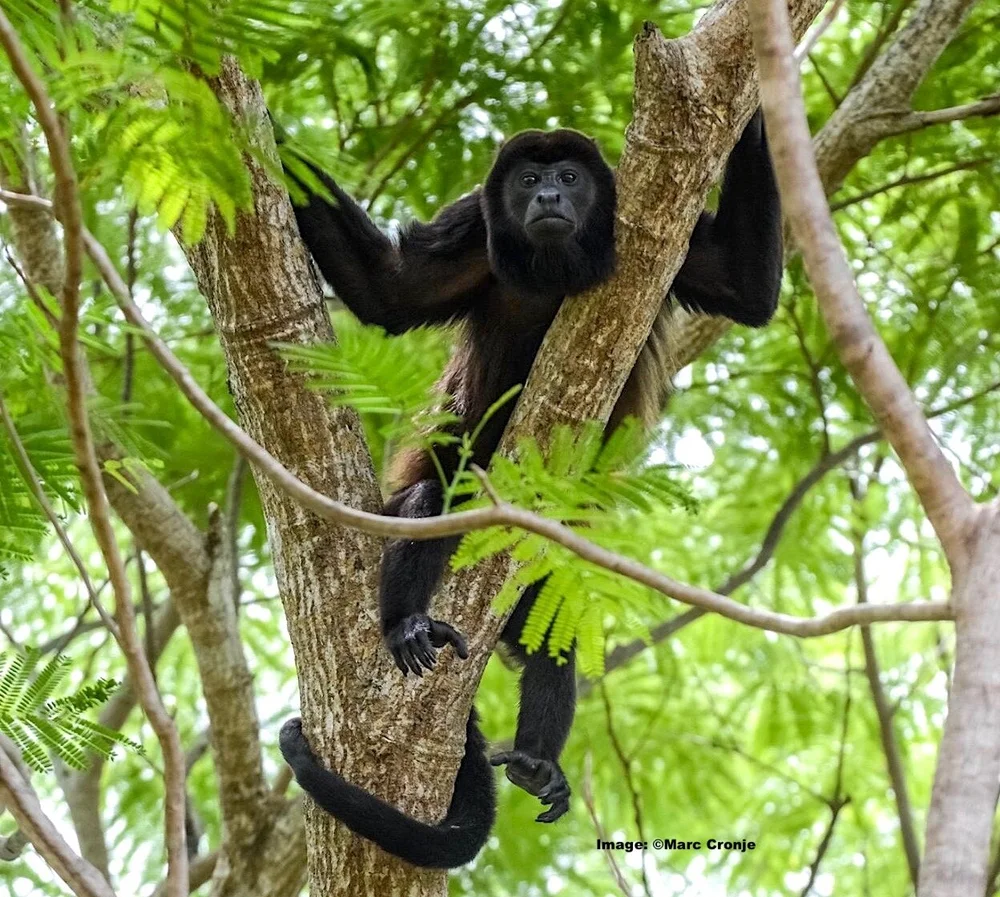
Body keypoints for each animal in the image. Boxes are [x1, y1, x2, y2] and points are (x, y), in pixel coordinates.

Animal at [278, 109, 783, 867]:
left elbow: (747, 288)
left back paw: (538, 762)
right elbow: (389, 290)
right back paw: (406, 623)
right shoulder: (470, 229)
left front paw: (757, 99)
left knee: (558, 614)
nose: (546, 195)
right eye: (527, 179)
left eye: (568, 177)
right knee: (431, 504)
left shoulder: (665, 237)